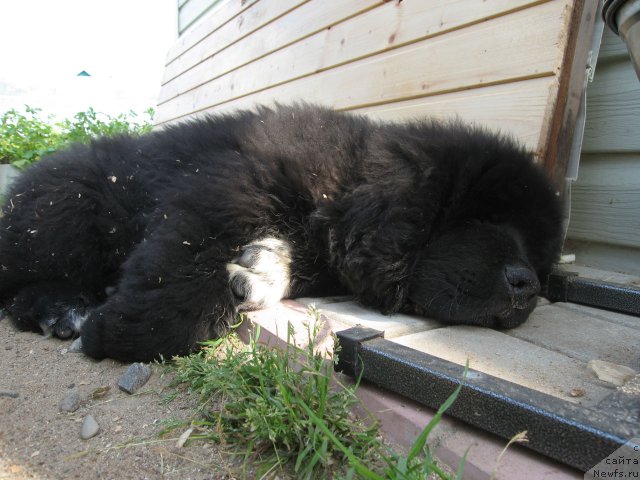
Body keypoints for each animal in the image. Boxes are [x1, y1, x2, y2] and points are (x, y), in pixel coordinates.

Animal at [0, 104, 560, 360]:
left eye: (539, 255)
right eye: (487, 219)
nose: (528, 286)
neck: (344, 188)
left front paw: (260, 270)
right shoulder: (223, 189)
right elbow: (179, 262)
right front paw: (126, 334)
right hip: (68, 204)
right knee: (20, 281)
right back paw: (64, 309)